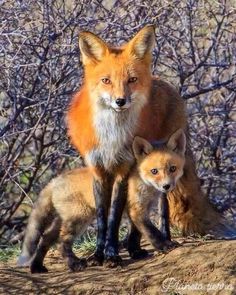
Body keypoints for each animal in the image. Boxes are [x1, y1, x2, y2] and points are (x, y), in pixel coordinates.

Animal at [18, 131, 184, 274]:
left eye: (172, 168)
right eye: (154, 171)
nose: (166, 186)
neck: (146, 187)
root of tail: (54, 181)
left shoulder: (142, 209)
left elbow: (135, 234)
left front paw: (136, 252)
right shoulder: (136, 209)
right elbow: (151, 231)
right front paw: (165, 245)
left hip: (65, 219)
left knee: (45, 238)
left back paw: (37, 267)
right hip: (80, 217)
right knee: (61, 242)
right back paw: (74, 264)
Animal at [66, 24, 236, 266]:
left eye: (132, 79)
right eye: (106, 80)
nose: (120, 101)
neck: (112, 135)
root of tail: (164, 82)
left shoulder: (124, 168)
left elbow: (115, 216)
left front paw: (112, 254)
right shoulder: (97, 168)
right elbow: (102, 216)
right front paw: (99, 253)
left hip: (161, 163)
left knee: (162, 204)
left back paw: (156, 240)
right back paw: (134, 247)